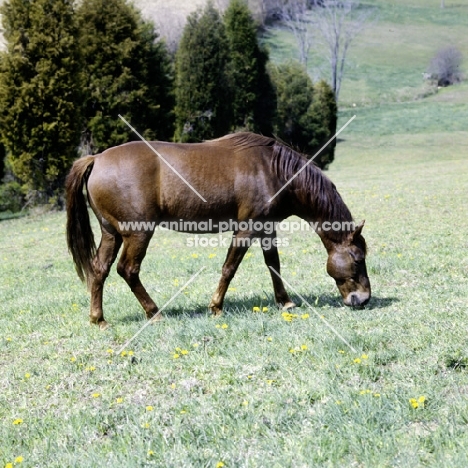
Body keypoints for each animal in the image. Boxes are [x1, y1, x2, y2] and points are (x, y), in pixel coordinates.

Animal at [66, 132, 372, 330]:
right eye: (358, 259)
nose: (363, 299)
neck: (273, 170)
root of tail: (97, 159)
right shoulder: (246, 230)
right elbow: (229, 268)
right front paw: (215, 307)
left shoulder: (267, 229)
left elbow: (273, 265)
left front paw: (285, 302)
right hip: (137, 234)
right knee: (128, 270)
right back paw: (154, 312)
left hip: (112, 234)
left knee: (99, 269)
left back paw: (98, 319)